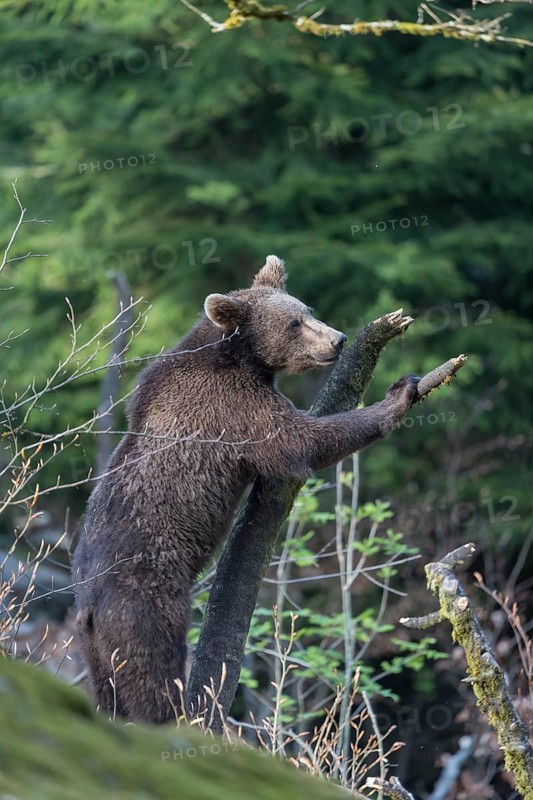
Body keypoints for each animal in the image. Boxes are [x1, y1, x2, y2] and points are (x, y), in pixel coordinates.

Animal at [72, 256, 419, 724]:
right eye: (294, 323)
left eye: (307, 309)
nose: (338, 339)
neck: (239, 357)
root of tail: (88, 604)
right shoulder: (232, 405)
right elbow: (299, 440)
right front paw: (399, 393)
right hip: (143, 602)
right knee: (150, 673)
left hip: (95, 649)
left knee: (109, 692)